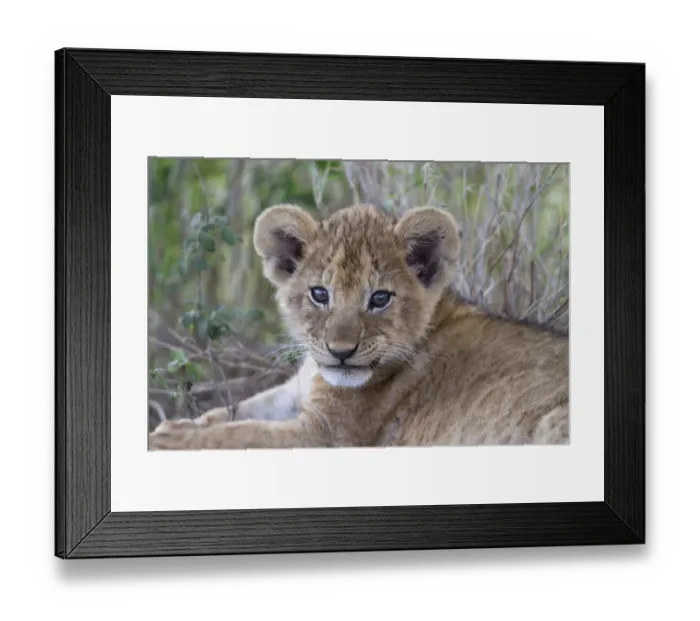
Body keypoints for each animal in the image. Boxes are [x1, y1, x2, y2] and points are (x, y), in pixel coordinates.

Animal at [148, 203, 569, 451]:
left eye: (380, 298)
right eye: (320, 294)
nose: (341, 352)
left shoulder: (326, 436)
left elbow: (241, 433)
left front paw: (170, 441)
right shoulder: (293, 395)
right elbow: (232, 412)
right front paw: (176, 426)